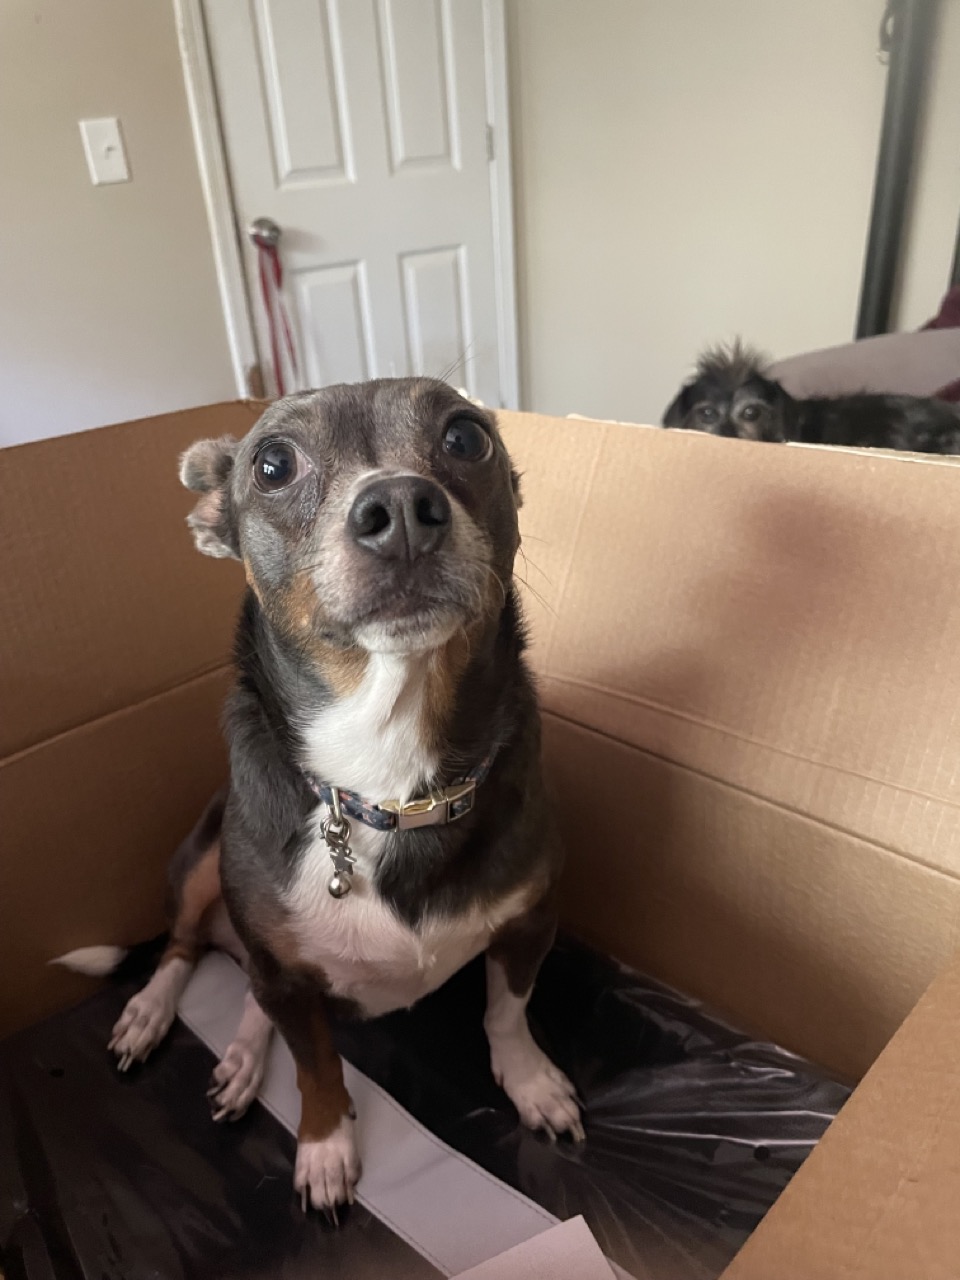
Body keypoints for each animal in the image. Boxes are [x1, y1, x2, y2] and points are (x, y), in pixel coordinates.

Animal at [64, 373, 586, 1213]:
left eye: (466, 436)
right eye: (273, 465)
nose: (400, 506)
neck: (390, 783)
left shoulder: (531, 919)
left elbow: (507, 1010)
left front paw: (531, 1082)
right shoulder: (288, 976)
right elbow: (318, 1067)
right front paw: (324, 1147)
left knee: (243, 987)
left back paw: (241, 1062)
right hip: (202, 858)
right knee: (183, 946)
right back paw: (148, 1013)